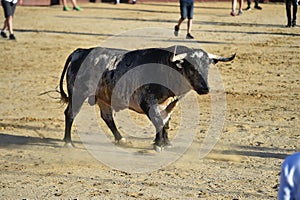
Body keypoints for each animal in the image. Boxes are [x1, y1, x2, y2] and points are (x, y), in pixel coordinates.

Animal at [59, 45, 237, 152]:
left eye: (207, 66)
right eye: (191, 67)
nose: (205, 88)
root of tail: (81, 52)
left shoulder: (170, 104)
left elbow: (165, 122)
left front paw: (166, 142)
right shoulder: (147, 102)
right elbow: (158, 121)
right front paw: (158, 144)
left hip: (103, 97)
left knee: (107, 117)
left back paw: (121, 139)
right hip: (78, 93)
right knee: (70, 113)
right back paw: (68, 142)